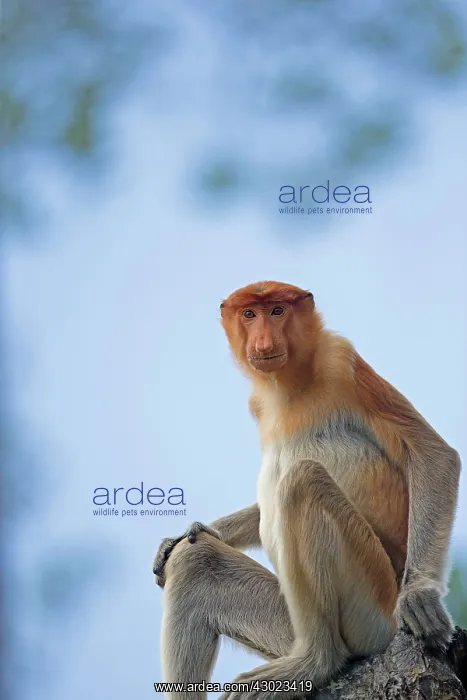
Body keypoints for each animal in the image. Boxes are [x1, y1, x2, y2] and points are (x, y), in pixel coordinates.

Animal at [152, 281, 461, 700]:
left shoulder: (342, 362)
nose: (263, 342)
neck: (288, 385)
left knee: (302, 481)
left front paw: (420, 595)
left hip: (374, 607)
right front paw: (194, 531)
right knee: (196, 561)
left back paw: (316, 661)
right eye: (249, 314)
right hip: (288, 625)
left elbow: (433, 454)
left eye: (278, 310)